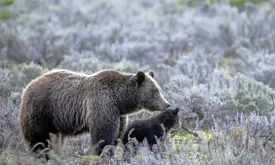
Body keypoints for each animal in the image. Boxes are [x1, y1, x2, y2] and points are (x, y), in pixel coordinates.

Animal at [18, 68, 170, 159]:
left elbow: (116, 136)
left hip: (55, 121)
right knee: (38, 139)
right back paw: (41, 155)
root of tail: (29, 85)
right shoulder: (102, 106)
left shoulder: (119, 115)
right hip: (41, 111)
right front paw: (102, 154)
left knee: (53, 138)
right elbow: (103, 136)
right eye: (155, 91)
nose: (167, 104)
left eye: (160, 90)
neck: (120, 100)